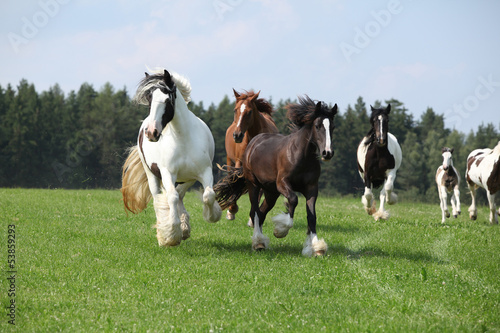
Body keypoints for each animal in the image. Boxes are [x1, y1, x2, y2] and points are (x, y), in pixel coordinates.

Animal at [120, 68, 222, 246]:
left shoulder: (205, 172)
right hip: (152, 175)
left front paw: (213, 215)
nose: (151, 132)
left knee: (179, 195)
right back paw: (165, 231)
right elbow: (171, 198)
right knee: (160, 198)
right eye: (149, 100)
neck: (183, 138)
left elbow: (208, 195)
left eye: (167, 100)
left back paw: (185, 228)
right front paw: (171, 236)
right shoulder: (168, 173)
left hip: (187, 179)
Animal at [225, 89, 280, 222]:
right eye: (235, 110)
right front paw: (232, 209)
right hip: (229, 160)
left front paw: (253, 217)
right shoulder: (239, 162)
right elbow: (235, 179)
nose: (237, 135)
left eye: (249, 112)